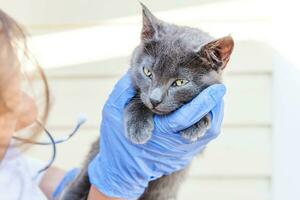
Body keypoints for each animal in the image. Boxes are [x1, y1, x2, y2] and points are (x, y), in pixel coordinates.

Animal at [59, 3, 233, 200]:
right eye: (148, 72)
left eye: (180, 82)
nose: (154, 99)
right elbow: (137, 99)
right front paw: (138, 127)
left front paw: (195, 124)